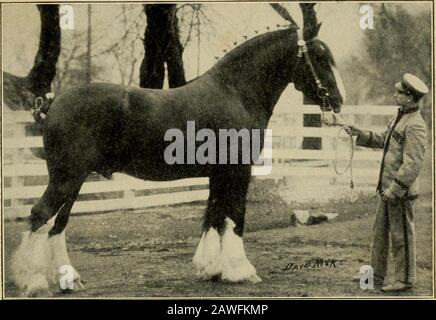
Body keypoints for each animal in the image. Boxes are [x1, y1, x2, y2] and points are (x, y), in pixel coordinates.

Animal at [11, 3, 346, 296]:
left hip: (75, 179)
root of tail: (53, 102)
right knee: (41, 215)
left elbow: (214, 215)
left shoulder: (219, 173)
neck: (235, 92)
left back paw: (69, 280)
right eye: (319, 56)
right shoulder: (238, 170)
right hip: (66, 177)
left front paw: (211, 268)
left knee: (58, 223)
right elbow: (235, 217)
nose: (339, 100)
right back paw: (33, 282)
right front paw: (241, 271)